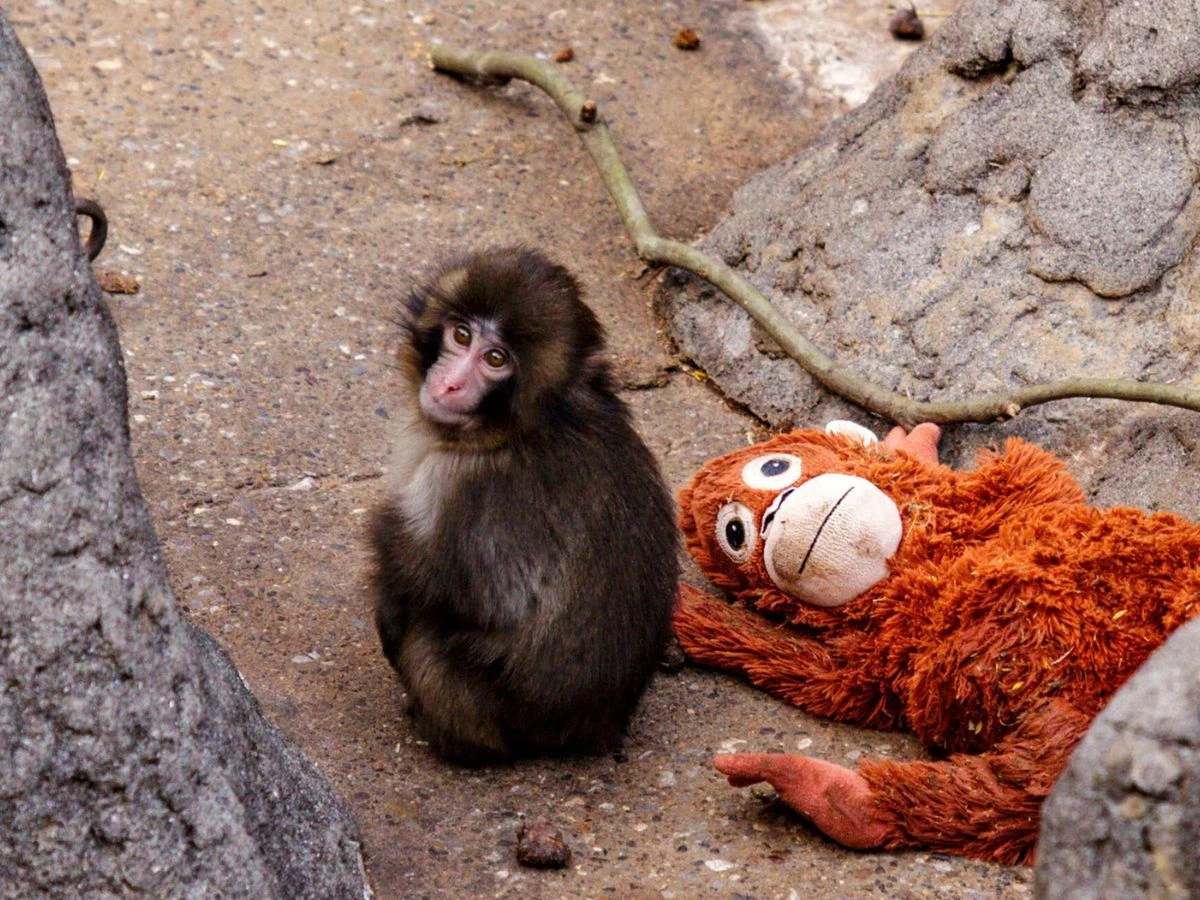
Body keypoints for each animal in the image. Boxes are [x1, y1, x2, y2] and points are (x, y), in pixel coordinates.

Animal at [369, 247, 680, 765]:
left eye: (495, 359)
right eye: (461, 335)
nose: (450, 385)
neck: (526, 427)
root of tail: (598, 725)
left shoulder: (459, 485)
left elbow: (470, 597)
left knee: (426, 640)